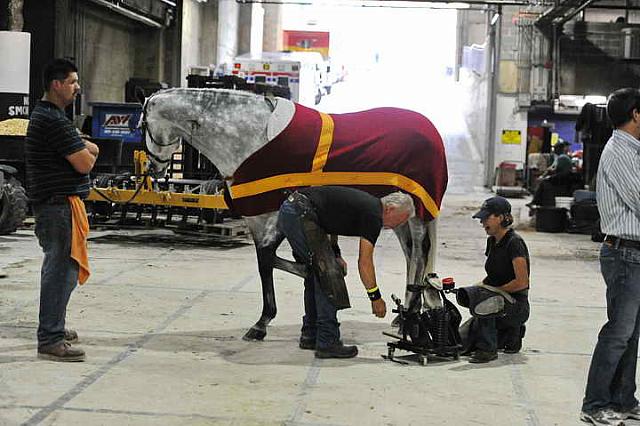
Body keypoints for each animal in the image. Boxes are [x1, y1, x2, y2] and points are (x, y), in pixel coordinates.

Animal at [142, 88, 448, 342]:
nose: (155, 169)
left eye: (142, 125)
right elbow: (274, 261)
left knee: (420, 253)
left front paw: (263, 322)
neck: (253, 140)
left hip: (417, 211)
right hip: (397, 213)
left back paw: (409, 313)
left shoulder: (276, 217)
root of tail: (431, 128)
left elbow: (268, 259)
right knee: (411, 255)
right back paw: (404, 313)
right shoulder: (262, 220)